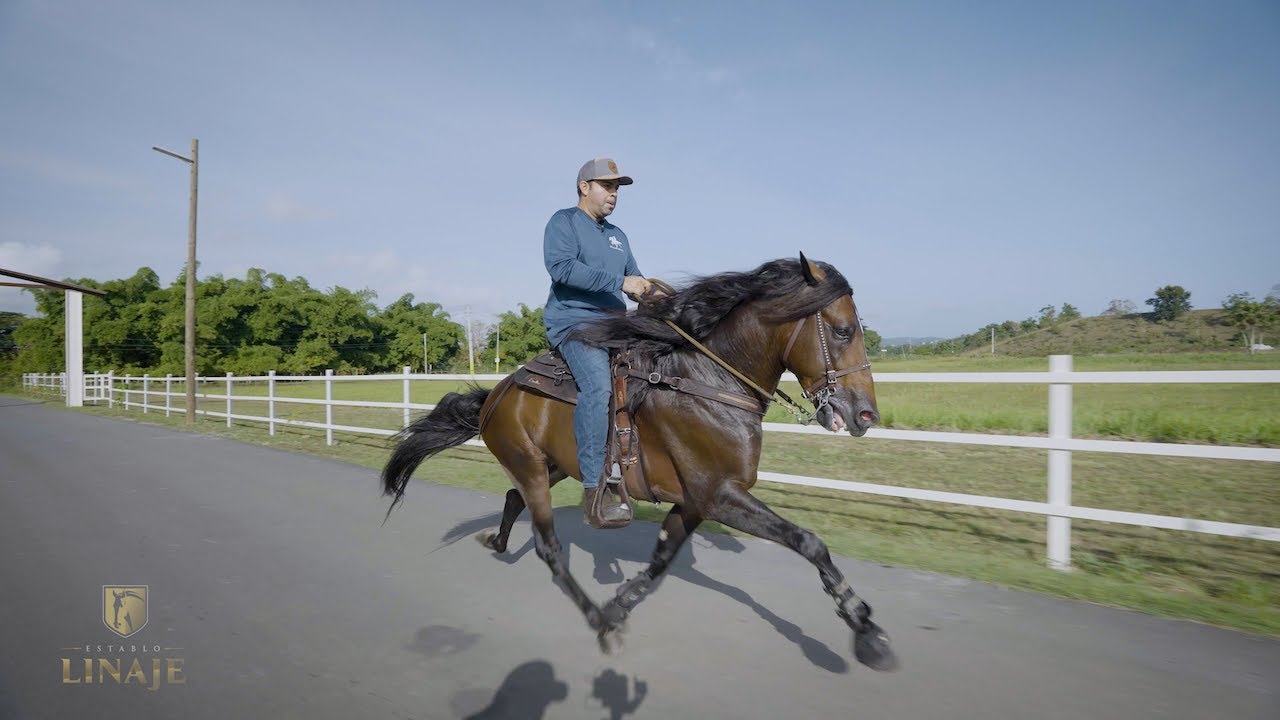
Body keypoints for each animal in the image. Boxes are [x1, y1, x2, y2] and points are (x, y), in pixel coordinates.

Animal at [381, 254, 898, 671]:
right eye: (843, 330)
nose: (865, 414)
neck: (708, 382)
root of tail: (498, 393)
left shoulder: (695, 502)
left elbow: (662, 558)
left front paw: (621, 602)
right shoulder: (720, 496)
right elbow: (809, 541)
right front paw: (865, 628)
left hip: (555, 465)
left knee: (512, 497)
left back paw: (501, 543)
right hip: (530, 465)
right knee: (550, 548)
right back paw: (596, 621)